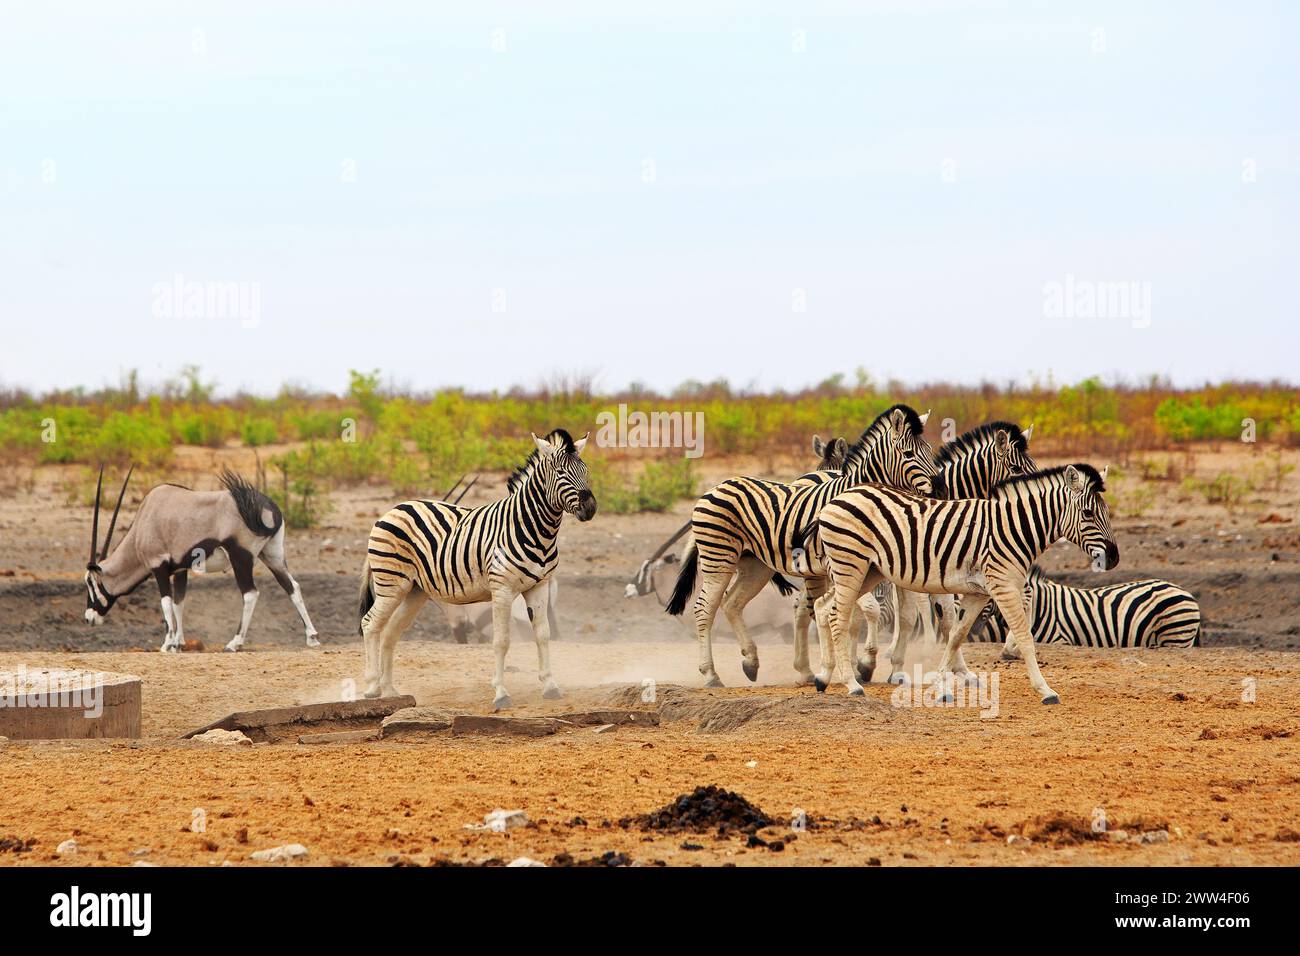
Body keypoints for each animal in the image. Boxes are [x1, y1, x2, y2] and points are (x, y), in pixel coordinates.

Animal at [83, 467, 319, 652]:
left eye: (90, 582)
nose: (88, 618)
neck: (143, 523)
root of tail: (267, 506)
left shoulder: (158, 566)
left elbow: (166, 602)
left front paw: (167, 644)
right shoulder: (179, 569)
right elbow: (179, 602)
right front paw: (178, 643)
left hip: (241, 558)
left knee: (250, 593)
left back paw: (234, 643)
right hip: (272, 555)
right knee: (291, 586)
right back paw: (312, 637)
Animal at [358, 428, 596, 709]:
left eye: (585, 470)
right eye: (560, 472)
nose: (591, 508)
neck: (534, 529)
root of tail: (392, 510)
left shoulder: (540, 586)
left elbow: (543, 635)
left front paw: (550, 686)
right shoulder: (501, 589)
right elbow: (501, 641)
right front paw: (501, 693)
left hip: (414, 591)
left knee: (390, 633)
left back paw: (390, 690)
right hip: (391, 584)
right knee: (370, 624)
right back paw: (372, 687)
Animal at [665, 404, 939, 688]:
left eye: (930, 450)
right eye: (908, 454)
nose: (939, 486)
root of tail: (717, 486)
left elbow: (864, 613)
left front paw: (854, 668)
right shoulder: (841, 565)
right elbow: (846, 613)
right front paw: (852, 668)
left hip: (755, 566)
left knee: (732, 603)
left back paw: (751, 661)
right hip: (718, 557)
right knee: (704, 609)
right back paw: (711, 674)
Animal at [802, 463, 1119, 703]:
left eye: (1107, 513)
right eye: (1088, 513)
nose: (1114, 558)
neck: (1012, 529)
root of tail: (835, 499)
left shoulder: (979, 593)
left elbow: (955, 635)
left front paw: (940, 685)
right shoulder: (1003, 585)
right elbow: (1025, 636)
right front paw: (1045, 690)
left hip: (868, 571)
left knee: (823, 607)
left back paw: (824, 677)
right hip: (850, 565)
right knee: (837, 617)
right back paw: (852, 684)